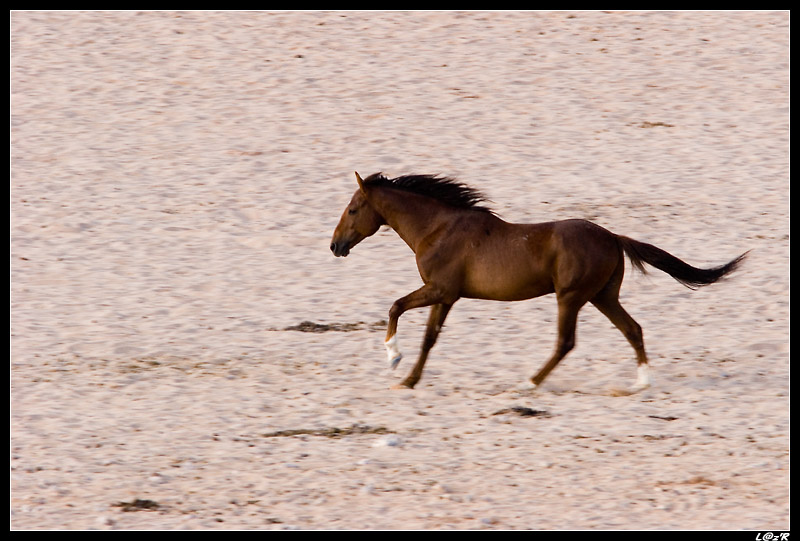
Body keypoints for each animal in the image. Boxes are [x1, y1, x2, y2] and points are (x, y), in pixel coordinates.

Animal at [330, 171, 747, 392]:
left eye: (353, 209)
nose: (335, 246)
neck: (438, 229)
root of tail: (614, 237)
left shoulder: (441, 290)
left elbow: (396, 307)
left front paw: (393, 358)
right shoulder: (447, 297)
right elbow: (429, 338)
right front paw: (409, 381)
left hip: (571, 297)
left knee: (566, 342)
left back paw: (530, 382)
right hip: (601, 296)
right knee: (633, 329)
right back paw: (641, 383)